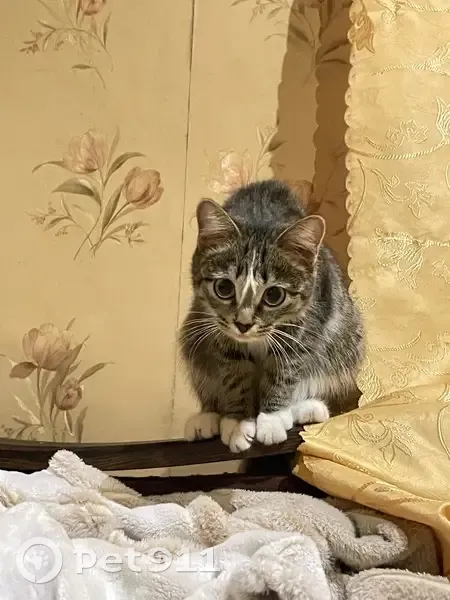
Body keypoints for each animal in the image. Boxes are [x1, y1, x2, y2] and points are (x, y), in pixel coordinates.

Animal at [180, 179, 364, 453]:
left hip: (345, 341)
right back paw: (206, 417)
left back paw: (307, 408)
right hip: (193, 335)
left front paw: (271, 420)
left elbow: (285, 368)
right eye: (223, 288)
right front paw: (237, 422)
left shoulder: (303, 325)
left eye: (274, 295)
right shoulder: (216, 325)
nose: (243, 324)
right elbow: (233, 371)